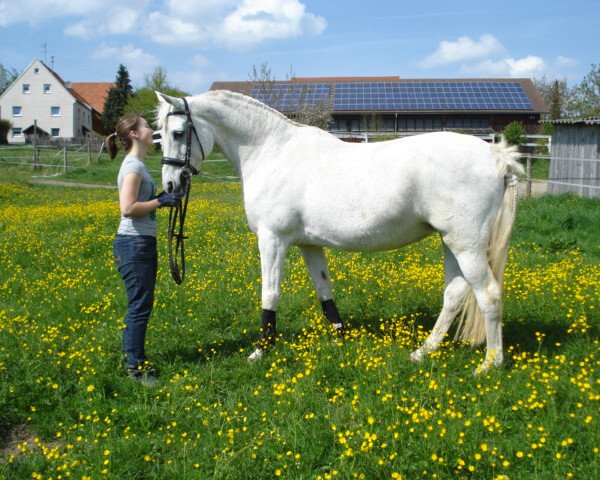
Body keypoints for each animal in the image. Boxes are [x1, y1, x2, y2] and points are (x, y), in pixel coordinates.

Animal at [157, 91, 524, 376]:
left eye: (178, 132)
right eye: (159, 134)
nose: (170, 188)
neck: (271, 152)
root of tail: (495, 155)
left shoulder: (272, 239)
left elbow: (270, 293)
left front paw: (261, 351)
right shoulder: (308, 244)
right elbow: (324, 290)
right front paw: (339, 336)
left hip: (467, 246)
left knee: (489, 295)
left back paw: (490, 364)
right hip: (452, 243)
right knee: (455, 294)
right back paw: (423, 352)